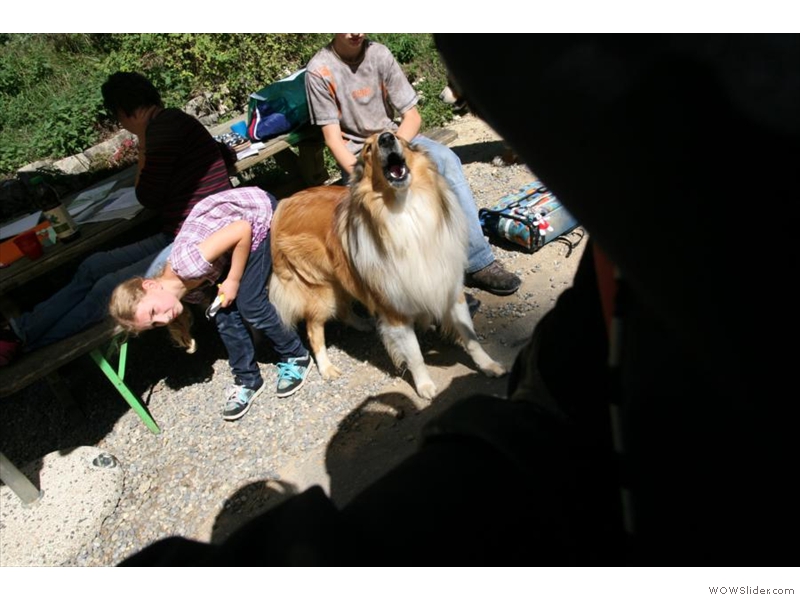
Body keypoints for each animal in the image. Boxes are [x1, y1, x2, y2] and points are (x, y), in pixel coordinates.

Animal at [268, 130, 506, 398]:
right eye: (367, 148)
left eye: (399, 137)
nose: (386, 138)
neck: (406, 210)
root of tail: (285, 202)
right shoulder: (395, 309)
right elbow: (414, 355)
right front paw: (424, 386)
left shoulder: (449, 288)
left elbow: (470, 336)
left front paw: (488, 365)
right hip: (321, 290)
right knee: (313, 328)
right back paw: (327, 367)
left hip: (342, 278)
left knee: (343, 309)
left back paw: (364, 324)